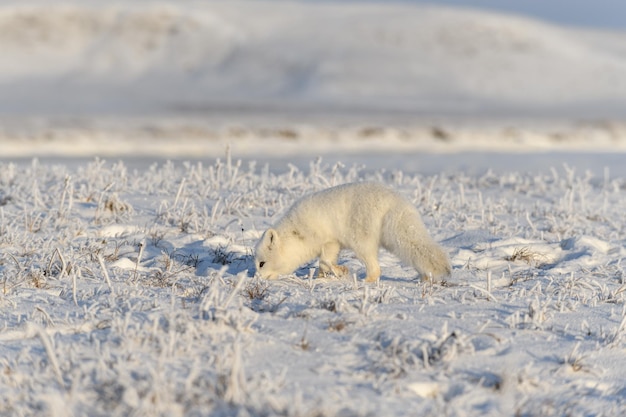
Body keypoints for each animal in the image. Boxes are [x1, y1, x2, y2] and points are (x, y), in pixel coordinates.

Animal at [254, 183, 448, 282]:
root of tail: (395, 203)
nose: (257, 279)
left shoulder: (328, 240)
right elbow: (324, 262)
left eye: (261, 264)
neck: (296, 233)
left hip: (361, 242)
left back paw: (366, 282)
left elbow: (325, 261)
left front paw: (341, 271)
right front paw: (321, 277)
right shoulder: (333, 244)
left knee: (376, 269)